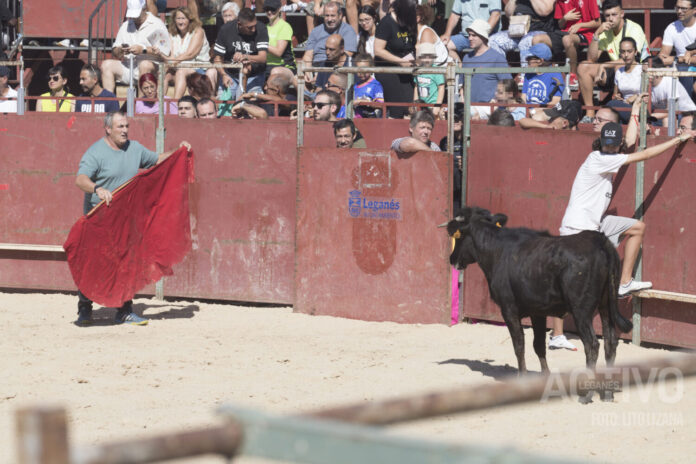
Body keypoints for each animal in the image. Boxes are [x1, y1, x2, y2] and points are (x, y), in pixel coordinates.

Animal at [444, 208, 632, 394]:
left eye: (458, 237)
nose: (451, 258)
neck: (498, 250)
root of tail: (600, 242)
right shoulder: (538, 312)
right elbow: (538, 345)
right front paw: (545, 378)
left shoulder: (508, 310)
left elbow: (519, 344)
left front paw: (522, 377)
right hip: (606, 304)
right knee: (610, 342)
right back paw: (607, 390)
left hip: (581, 311)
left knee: (592, 344)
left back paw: (587, 392)